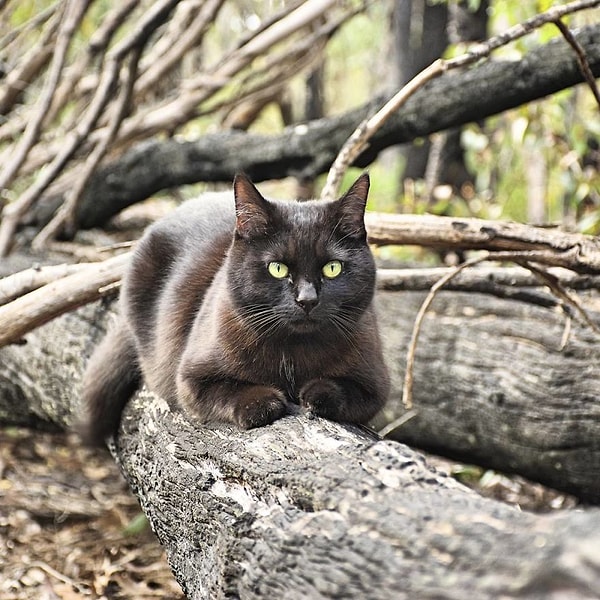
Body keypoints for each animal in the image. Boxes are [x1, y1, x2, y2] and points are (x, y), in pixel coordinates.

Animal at [77, 173, 390, 446]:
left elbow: (345, 392)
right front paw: (265, 402)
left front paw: (316, 394)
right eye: (277, 268)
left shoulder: (375, 384)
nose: (307, 299)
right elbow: (228, 390)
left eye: (332, 268)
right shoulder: (191, 378)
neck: (294, 352)